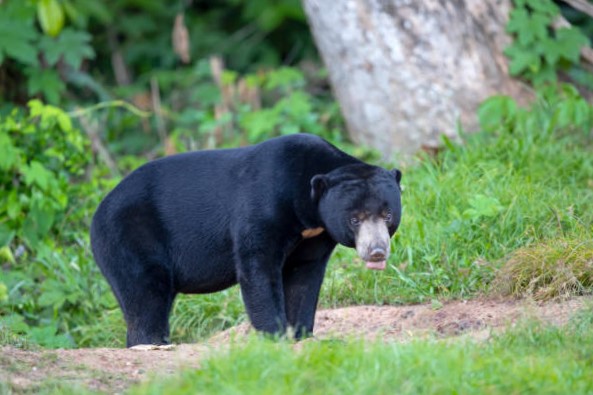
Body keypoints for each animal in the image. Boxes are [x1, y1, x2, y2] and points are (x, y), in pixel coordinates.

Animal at [90, 134, 400, 346]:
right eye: (355, 218)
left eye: (387, 215)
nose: (376, 251)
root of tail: (97, 212)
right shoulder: (264, 204)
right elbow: (258, 266)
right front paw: (275, 334)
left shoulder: (314, 236)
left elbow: (304, 277)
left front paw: (301, 334)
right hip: (129, 235)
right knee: (145, 292)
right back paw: (150, 342)